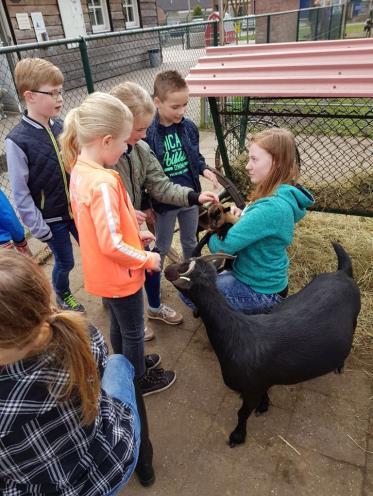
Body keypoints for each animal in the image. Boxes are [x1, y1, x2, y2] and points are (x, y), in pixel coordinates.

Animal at [164, 242, 358, 448]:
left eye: (182, 267)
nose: (166, 269)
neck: (236, 334)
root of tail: (342, 273)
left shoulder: (250, 389)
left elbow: (242, 413)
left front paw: (237, 436)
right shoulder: (261, 383)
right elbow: (264, 393)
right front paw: (264, 405)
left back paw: (339, 365)